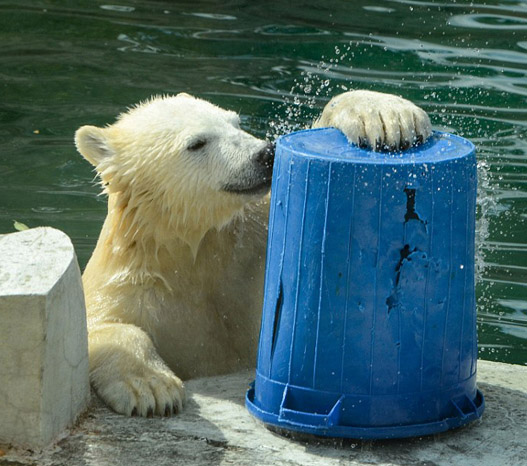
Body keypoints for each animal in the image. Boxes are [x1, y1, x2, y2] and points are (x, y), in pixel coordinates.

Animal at [74, 89, 432, 416]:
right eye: (197, 143)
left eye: (235, 122)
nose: (265, 153)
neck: (187, 254)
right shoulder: (132, 289)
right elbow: (100, 329)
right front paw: (151, 386)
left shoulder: (249, 249)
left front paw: (384, 115)